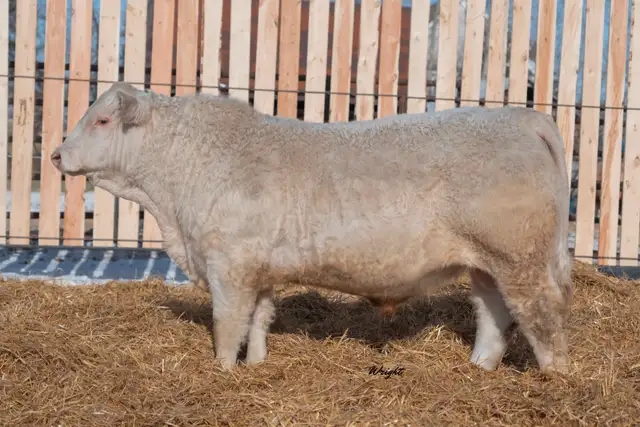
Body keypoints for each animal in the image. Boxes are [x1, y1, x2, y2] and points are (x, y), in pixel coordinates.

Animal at [51, 81, 573, 374]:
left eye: (101, 119)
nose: (56, 154)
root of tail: (521, 116)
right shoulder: (258, 269)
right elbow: (259, 320)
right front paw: (256, 365)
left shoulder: (229, 265)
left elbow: (227, 325)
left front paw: (222, 372)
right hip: (486, 263)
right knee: (494, 314)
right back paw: (479, 368)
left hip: (519, 258)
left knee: (543, 314)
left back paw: (555, 377)